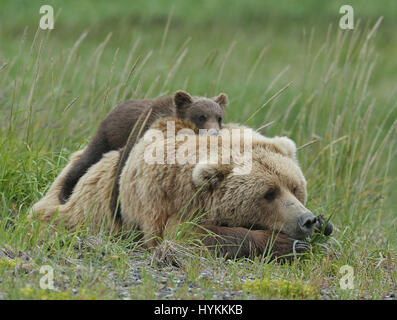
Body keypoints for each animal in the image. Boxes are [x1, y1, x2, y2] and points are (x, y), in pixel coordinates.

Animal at [29, 119, 330, 260]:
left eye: (294, 187)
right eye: (268, 193)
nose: (306, 219)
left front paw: (323, 229)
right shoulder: (164, 205)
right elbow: (185, 235)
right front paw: (284, 244)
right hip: (81, 209)